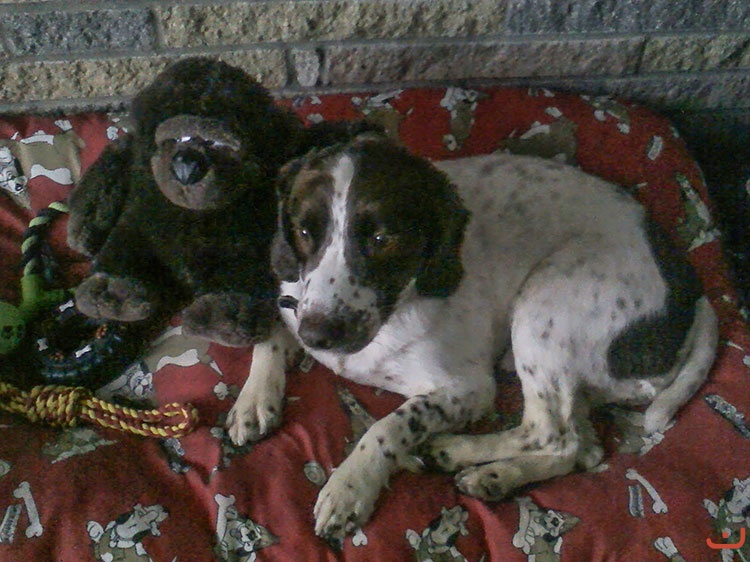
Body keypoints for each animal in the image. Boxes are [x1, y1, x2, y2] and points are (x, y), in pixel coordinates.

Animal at [227, 134, 718, 543]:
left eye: (383, 238)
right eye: (304, 231)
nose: (319, 335)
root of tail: (692, 296)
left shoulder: (468, 389)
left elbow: (390, 424)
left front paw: (351, 484)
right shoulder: (294, 307)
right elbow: (272, 333)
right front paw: (254, 399)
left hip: (545, 307)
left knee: (548, 432)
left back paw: (460, 451)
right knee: (582, 450)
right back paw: (494, 475)